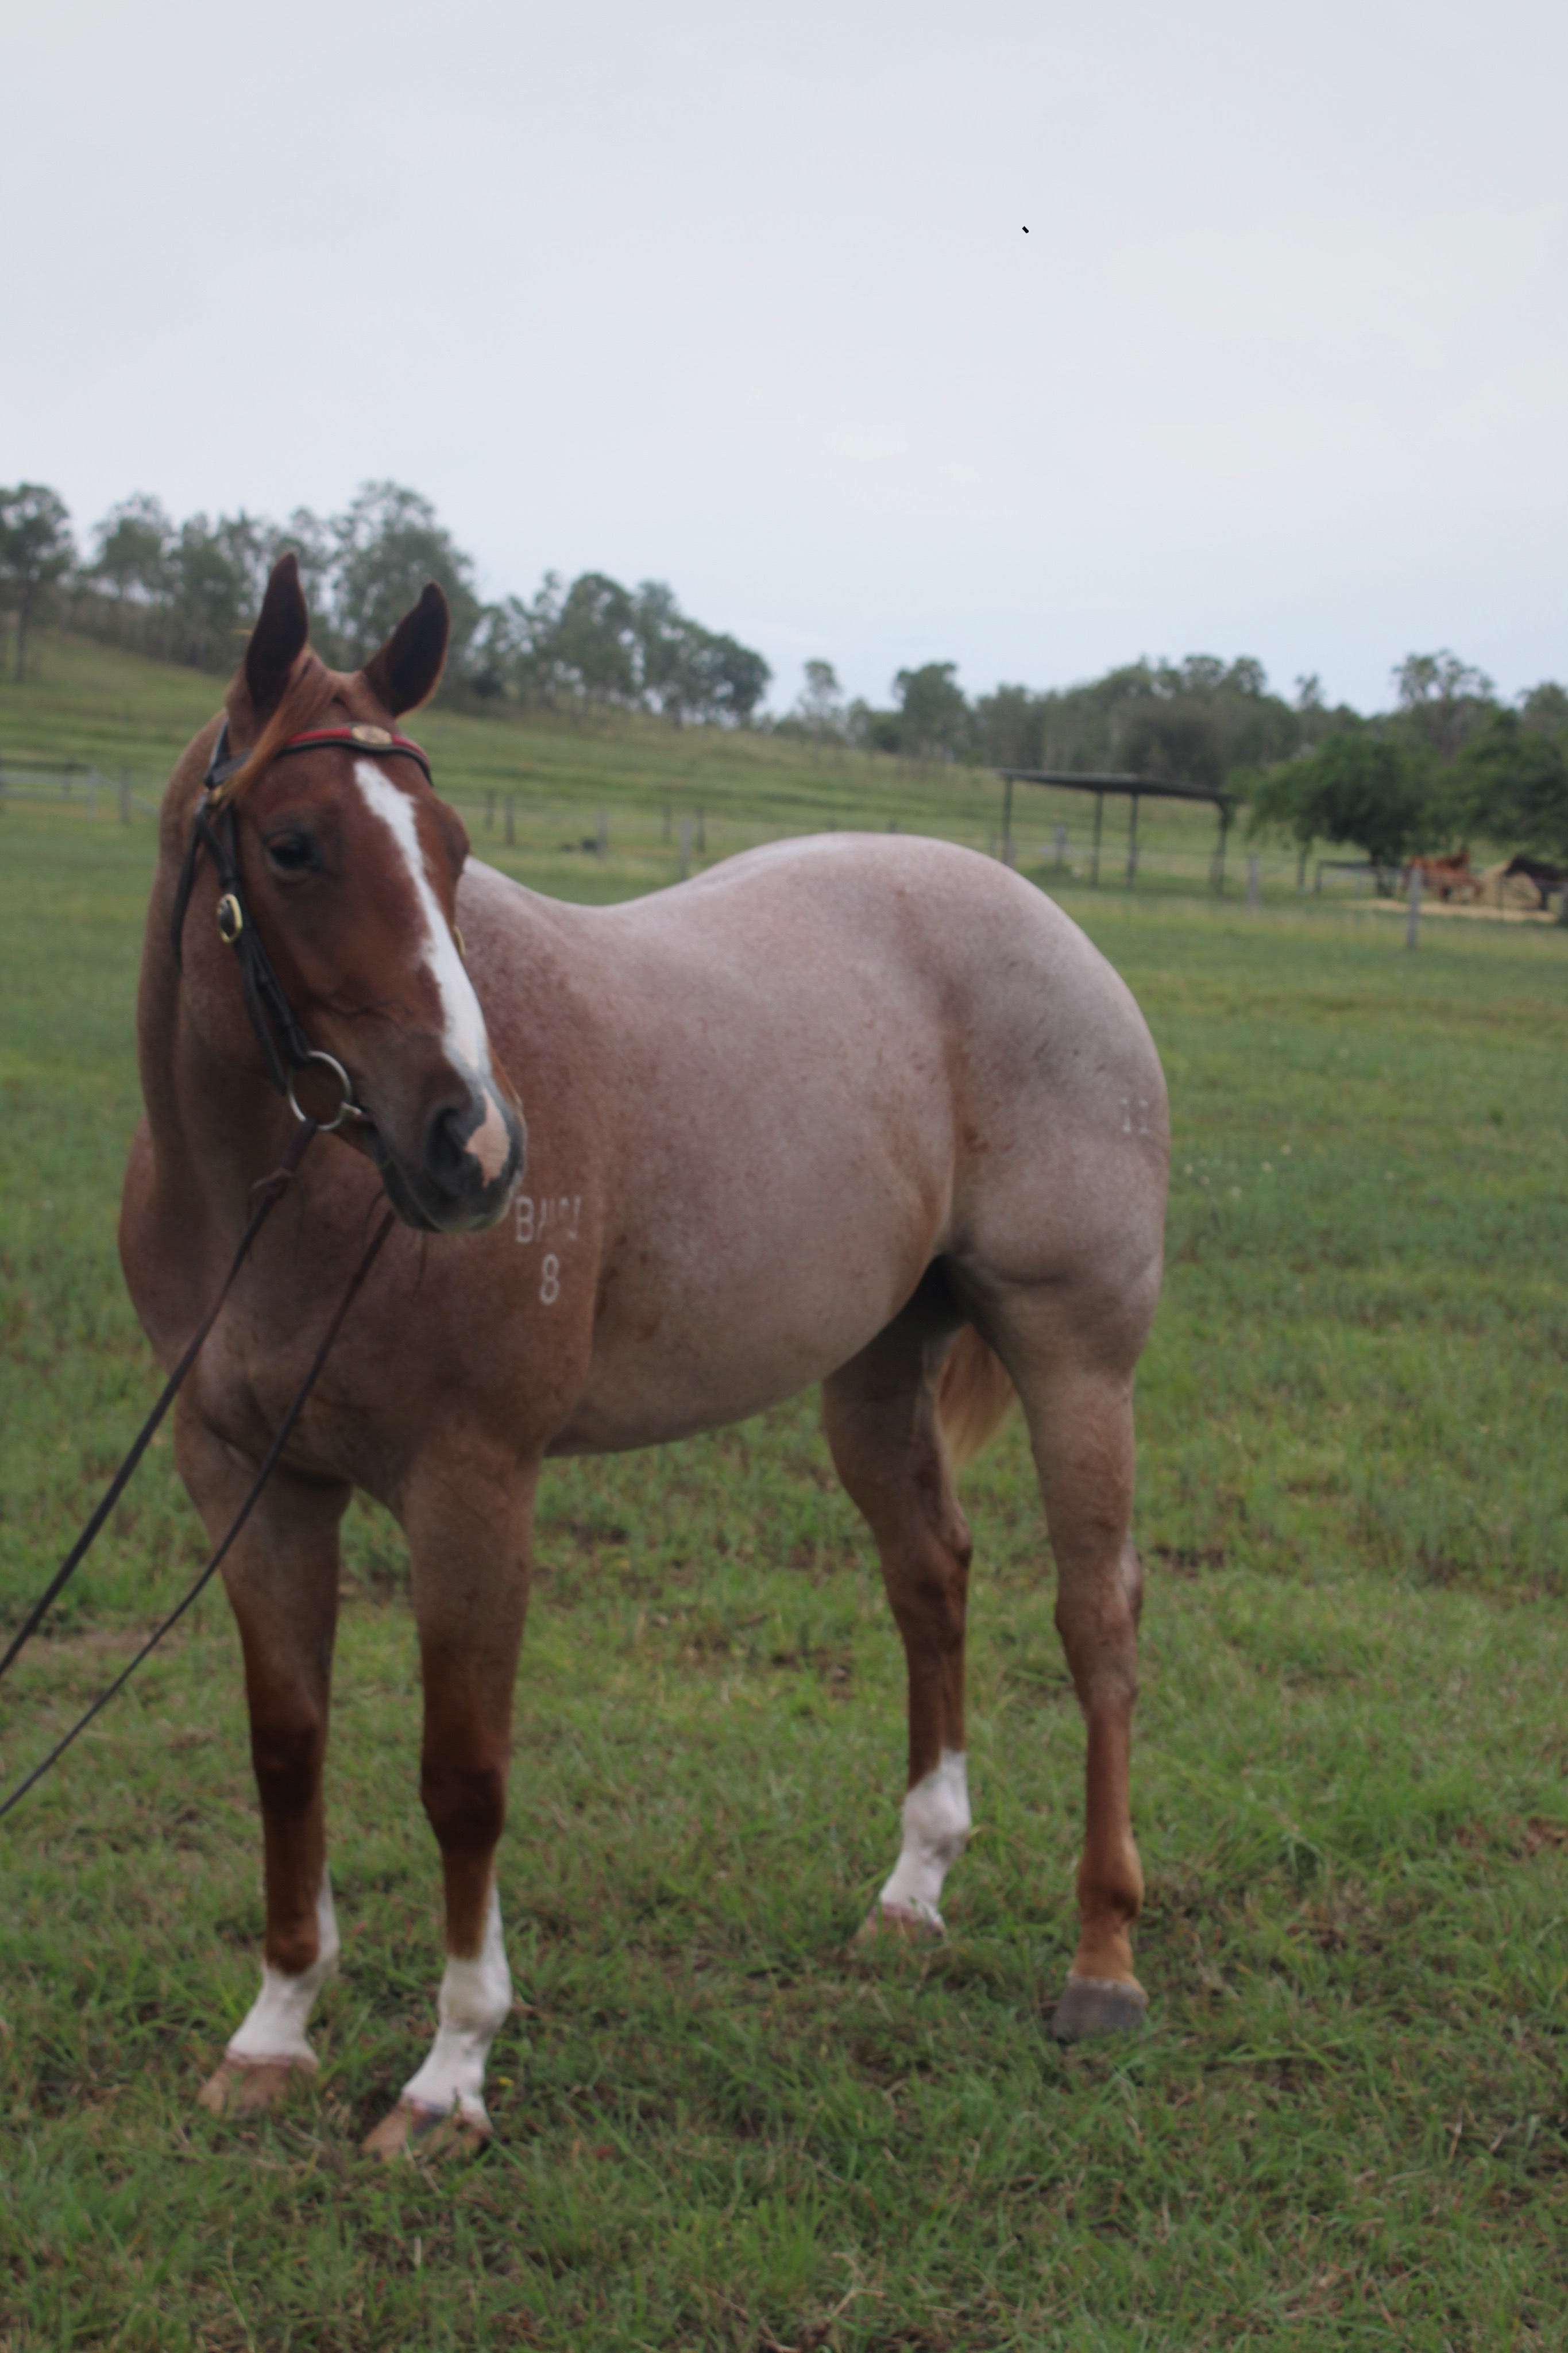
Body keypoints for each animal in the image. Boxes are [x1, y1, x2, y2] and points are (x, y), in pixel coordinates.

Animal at [118, 555, 1169, 2157]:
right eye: (292, 846)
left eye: (453, 849)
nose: (473, 1145)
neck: (275, 1197)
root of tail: (1052, 925)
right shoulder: (246, 1476)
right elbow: (286, 1745)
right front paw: (274, 2030)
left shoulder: (472, 1488)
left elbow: (463, 1777)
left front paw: (450, 2074)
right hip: (874, 1373)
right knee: (931, 1579)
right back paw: (912, 1890)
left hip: (1076, 1356)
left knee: (1095, 1619)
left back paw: (1101, 1960)